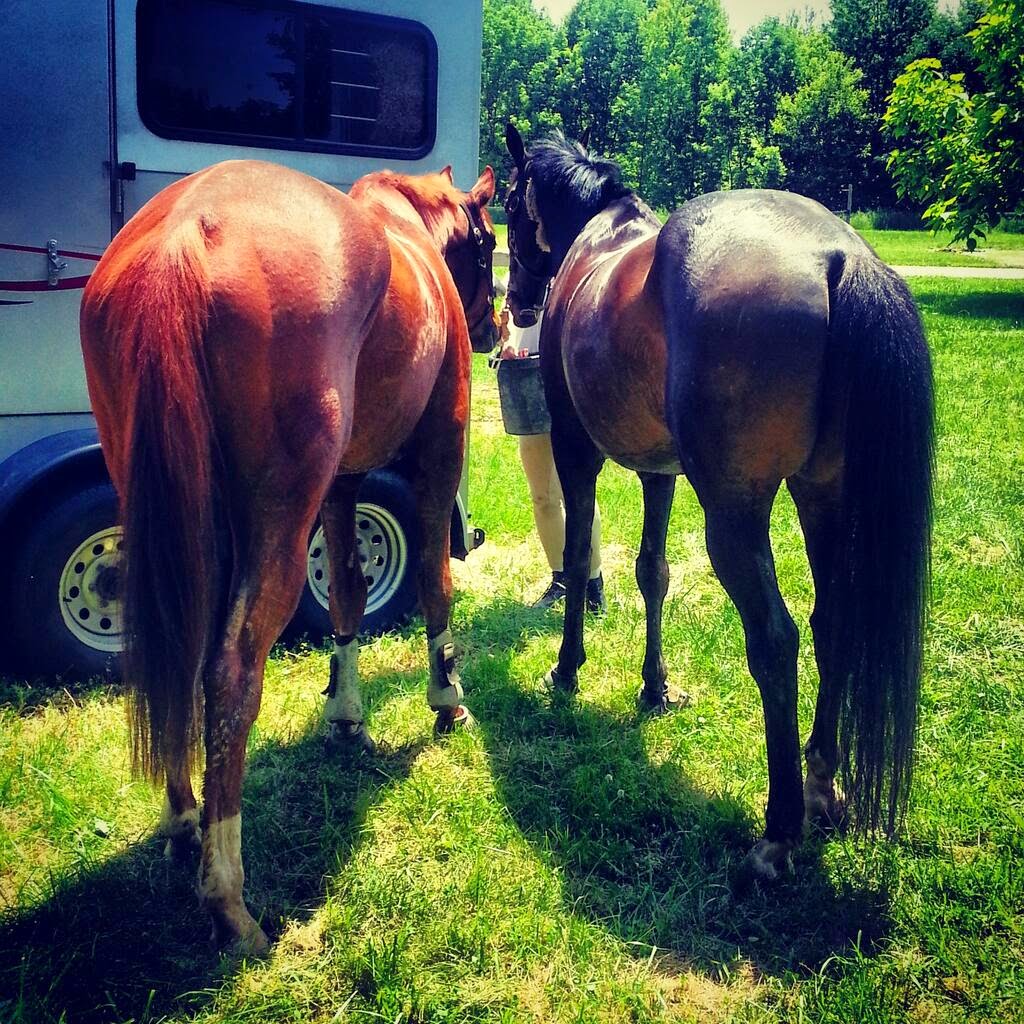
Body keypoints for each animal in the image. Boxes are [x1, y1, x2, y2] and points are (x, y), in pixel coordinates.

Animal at [80, 158, 498, 951]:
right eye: (490, 245)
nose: (496, 326)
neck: (406, 236)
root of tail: (185, 233)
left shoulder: (343, 484)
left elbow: (347, 594)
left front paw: (346, 711)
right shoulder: (439, 451)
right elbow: (434, 580)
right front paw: (447, 697)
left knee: (181, 648)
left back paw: (183, 818)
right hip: (276, 517)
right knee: (232, 671)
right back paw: (228, 898)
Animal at [502, 125, 933, 878]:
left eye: (505, 205)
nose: (517, 303)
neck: (600, 238)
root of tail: (839, 256)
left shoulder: (577, 453)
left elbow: (581, 557)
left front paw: (568, 666)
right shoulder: (660, 472)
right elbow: (652, 572)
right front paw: (653, 686)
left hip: (734, 518)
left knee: (777, 639)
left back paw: (780, 828)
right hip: (821, 497)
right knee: (831, 620)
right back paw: (820, 783)